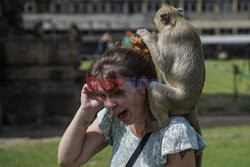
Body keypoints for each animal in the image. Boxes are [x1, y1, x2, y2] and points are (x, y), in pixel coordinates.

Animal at [136, 3, 206, 136]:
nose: (156, 31)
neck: (176, 20)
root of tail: (193, 104)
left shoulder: (167, 37)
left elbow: (163, 63)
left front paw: (146, 35)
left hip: (178, 101)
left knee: (153, 87)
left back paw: (162, 123)